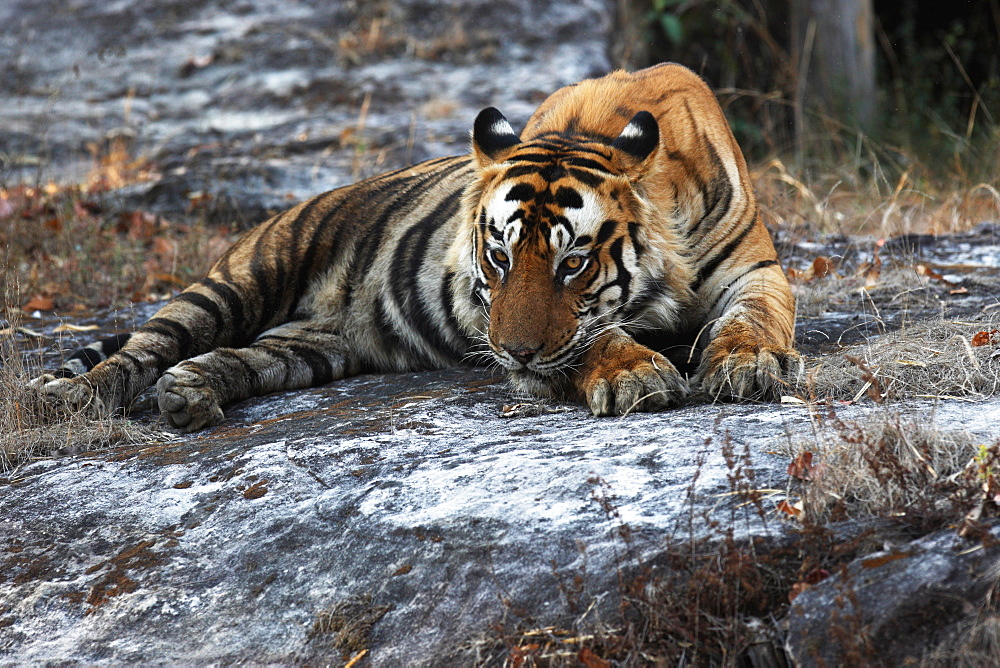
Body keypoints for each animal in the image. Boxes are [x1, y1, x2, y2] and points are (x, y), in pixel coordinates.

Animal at [29, 64, 796, 434]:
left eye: (572, 263)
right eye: (498, 259)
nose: (513, 354)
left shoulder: (755, 269)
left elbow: (756, 319)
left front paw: (746, 365)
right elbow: (593, 339)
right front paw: (635, 372)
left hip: (314, 345)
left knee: (239, 358)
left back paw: (189, 395)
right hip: (240, 281)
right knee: (144, 348)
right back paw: (69, 398)